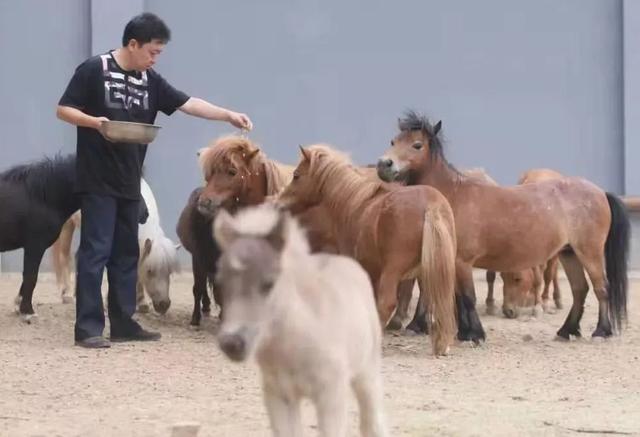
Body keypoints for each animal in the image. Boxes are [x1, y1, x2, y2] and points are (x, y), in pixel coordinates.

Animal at [49, 178, 177, 314]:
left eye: (169, 271)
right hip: (68, 224)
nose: (164, 305)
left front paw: (142, 302)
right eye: (150, 271)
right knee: (64, 256)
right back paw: (68, 294)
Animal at [214, 204, 387, 437]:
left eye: (269, 283)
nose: (232, 343)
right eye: (220, 282)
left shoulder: (331, 395)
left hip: (367, 371)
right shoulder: (278, 395)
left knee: (373, 421)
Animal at [278, 144, 457, 356]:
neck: (354, 204)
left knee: (387, 304)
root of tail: (431, 205)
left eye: (296, 175)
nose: (279, 203)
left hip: (394, 271)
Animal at [377, 111, 630, 341]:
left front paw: (475, 335)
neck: (453, 196)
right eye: (393, 141)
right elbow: (459, 298)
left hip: (589, 252)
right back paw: (566, 330)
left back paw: (601, 331)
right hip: (569, 254)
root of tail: (600, 192)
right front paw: (465, 333)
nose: (384, 164)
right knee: (580, 290)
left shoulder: (462, 261)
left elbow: (468, 297)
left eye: (417, 145)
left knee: (601, 288)